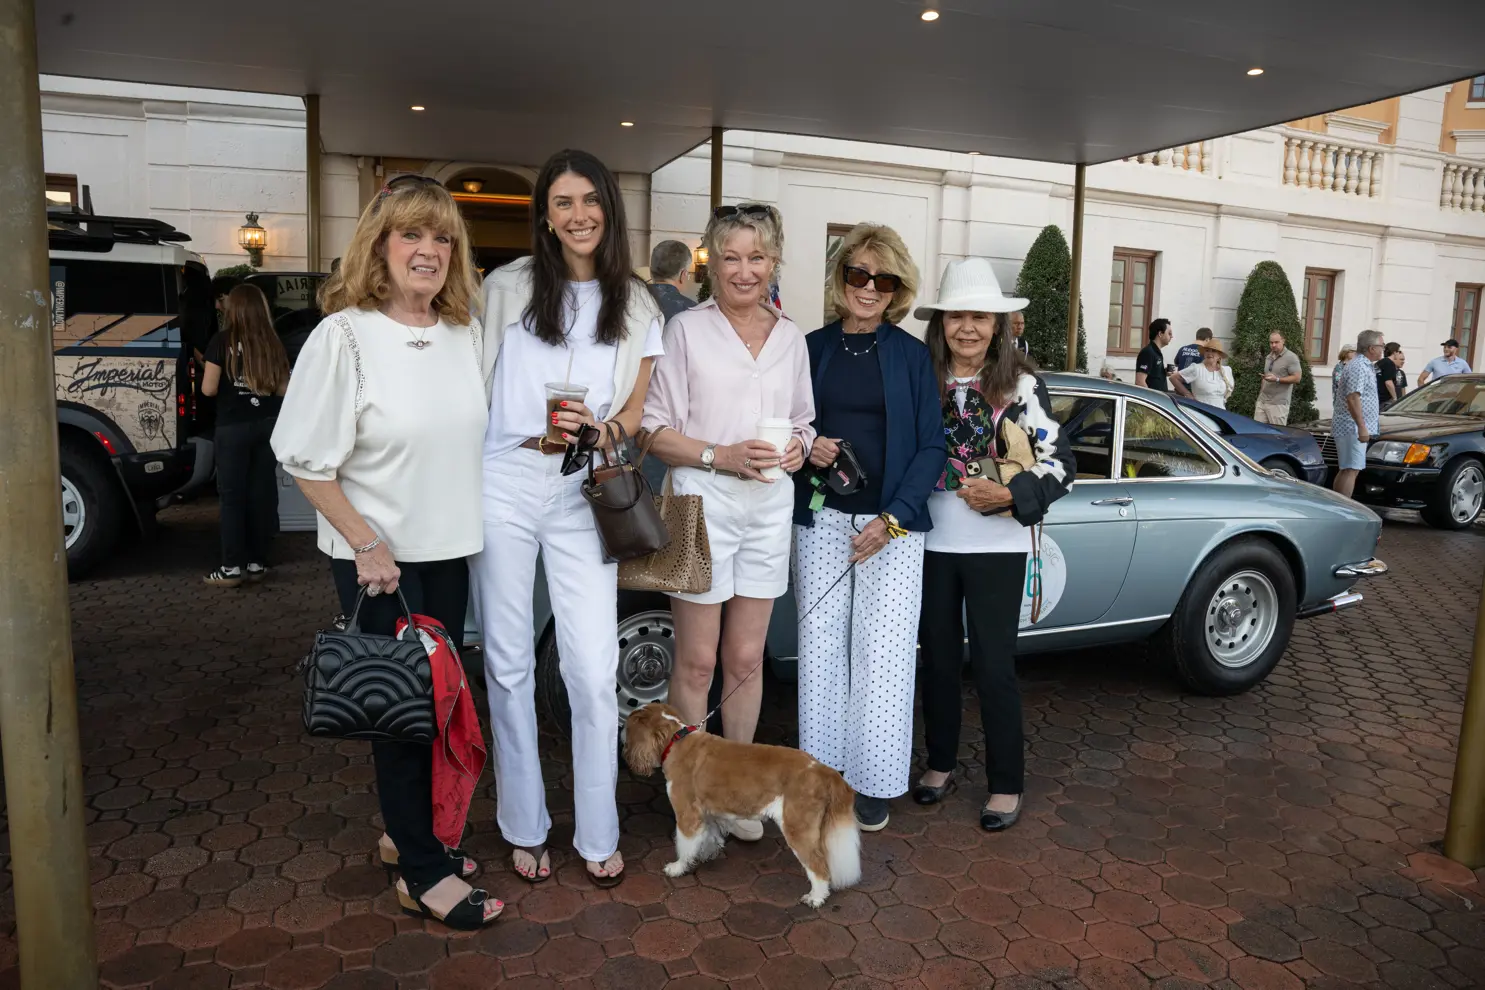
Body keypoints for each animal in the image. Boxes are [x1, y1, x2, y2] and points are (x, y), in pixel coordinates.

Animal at [622, 701, 861, 908]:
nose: (623, 751)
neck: (676, 739)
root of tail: (823, 770)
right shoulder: (707, 813)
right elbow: (709, 836)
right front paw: (706, 853)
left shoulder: (687, 814)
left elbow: (685, 845)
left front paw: (678, 867)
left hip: (798, 828)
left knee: (819, 866)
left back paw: (816, 897)